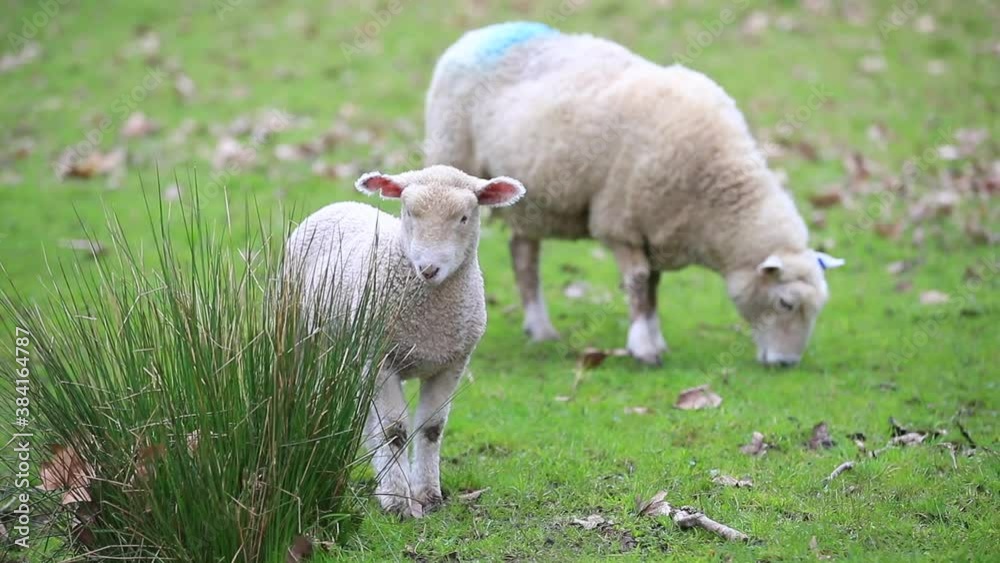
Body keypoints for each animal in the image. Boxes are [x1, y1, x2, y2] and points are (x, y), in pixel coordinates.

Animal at [284, 165, 525, 518]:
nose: (429, 268)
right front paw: (398, 501)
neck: (430, 318)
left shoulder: (452, 362)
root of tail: (339, 204)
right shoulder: (380, 358)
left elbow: (431, 427)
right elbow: (393, 429)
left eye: (464, 217)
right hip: (303, 335)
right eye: (409, 212)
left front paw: (427, 494)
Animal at [424, 22, 845, 367]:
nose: (786, 364)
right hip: (453, 154)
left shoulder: (654, 228)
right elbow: (640, 284)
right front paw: (643, 349)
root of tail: (480, 33)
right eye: (786, 303)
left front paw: (655, 340)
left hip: (531, 197)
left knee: (523, 254)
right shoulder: (621, 223)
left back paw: (540, 329)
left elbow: (653, 289)